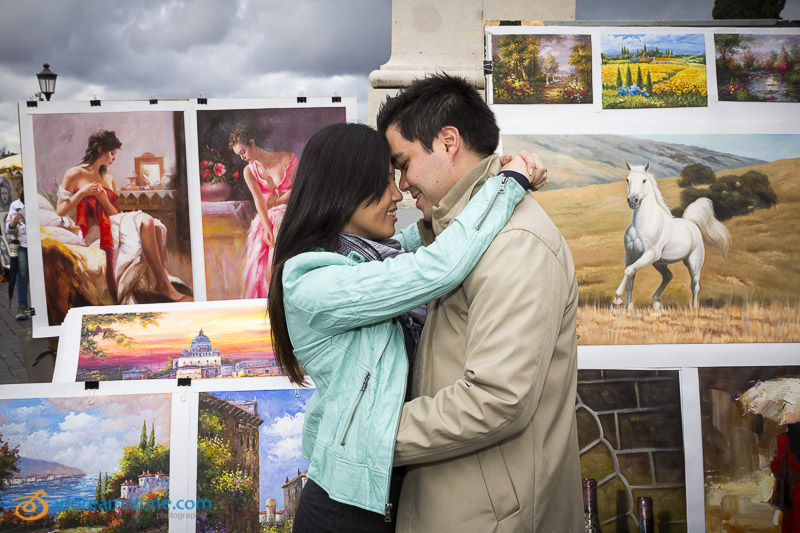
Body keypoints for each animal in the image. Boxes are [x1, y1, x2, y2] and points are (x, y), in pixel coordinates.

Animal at [612, 162, 732, 308]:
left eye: (644, 180)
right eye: (627, 179)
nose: (633, 200)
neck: (643, 224)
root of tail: (691, 223)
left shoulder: (650, 254)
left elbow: (629, 271)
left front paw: (617, 299)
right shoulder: (630, 255)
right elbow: (630, 280)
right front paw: (628, 308)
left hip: (693, 262)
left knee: (695, 286)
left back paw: (694, 308)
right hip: (660, 262)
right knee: (668, 276)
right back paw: (656, 302)